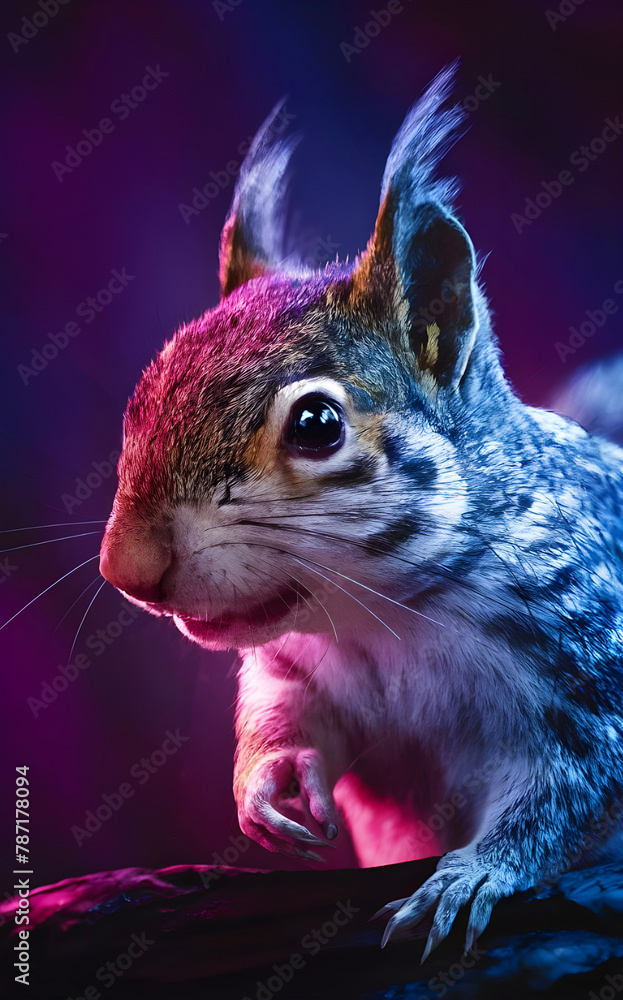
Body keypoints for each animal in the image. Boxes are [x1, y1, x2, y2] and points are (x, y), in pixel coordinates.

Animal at [99, 65, 623, 958]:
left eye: (317, 424)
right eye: (141, 398)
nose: (125, 569)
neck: (386, 616)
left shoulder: (589, 683)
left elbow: (563, 802)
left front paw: (470, 875)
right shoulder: (301, 667)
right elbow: (284, 715)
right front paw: (269, 780)